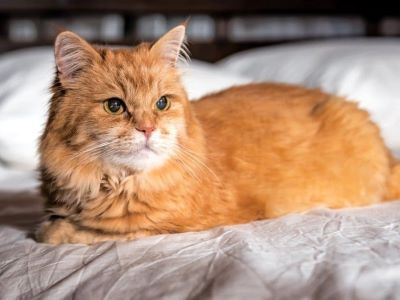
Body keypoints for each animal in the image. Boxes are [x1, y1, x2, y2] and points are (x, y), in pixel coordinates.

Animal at [36, 23, 400, 244]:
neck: (113, 183)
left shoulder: (165, 226)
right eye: (114, 106)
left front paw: (51, 229)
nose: (148, 129)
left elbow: (70, 232)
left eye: (161, 103)